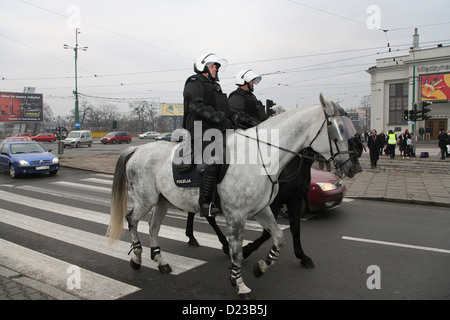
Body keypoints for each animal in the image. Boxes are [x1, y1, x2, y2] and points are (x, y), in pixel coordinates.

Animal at [107, 94, 360, 298]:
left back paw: (160, 261)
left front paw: (261, 267)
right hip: (146, 200)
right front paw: (241, 285)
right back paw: (137, 258)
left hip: (162, 202)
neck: (262, 155)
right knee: (131, 220)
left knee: (153, 228)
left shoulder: (264, 209)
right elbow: (237, 252)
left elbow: (280, 237)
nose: (354, 167)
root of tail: (137, 149)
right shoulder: (237, 216)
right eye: (336, 128)